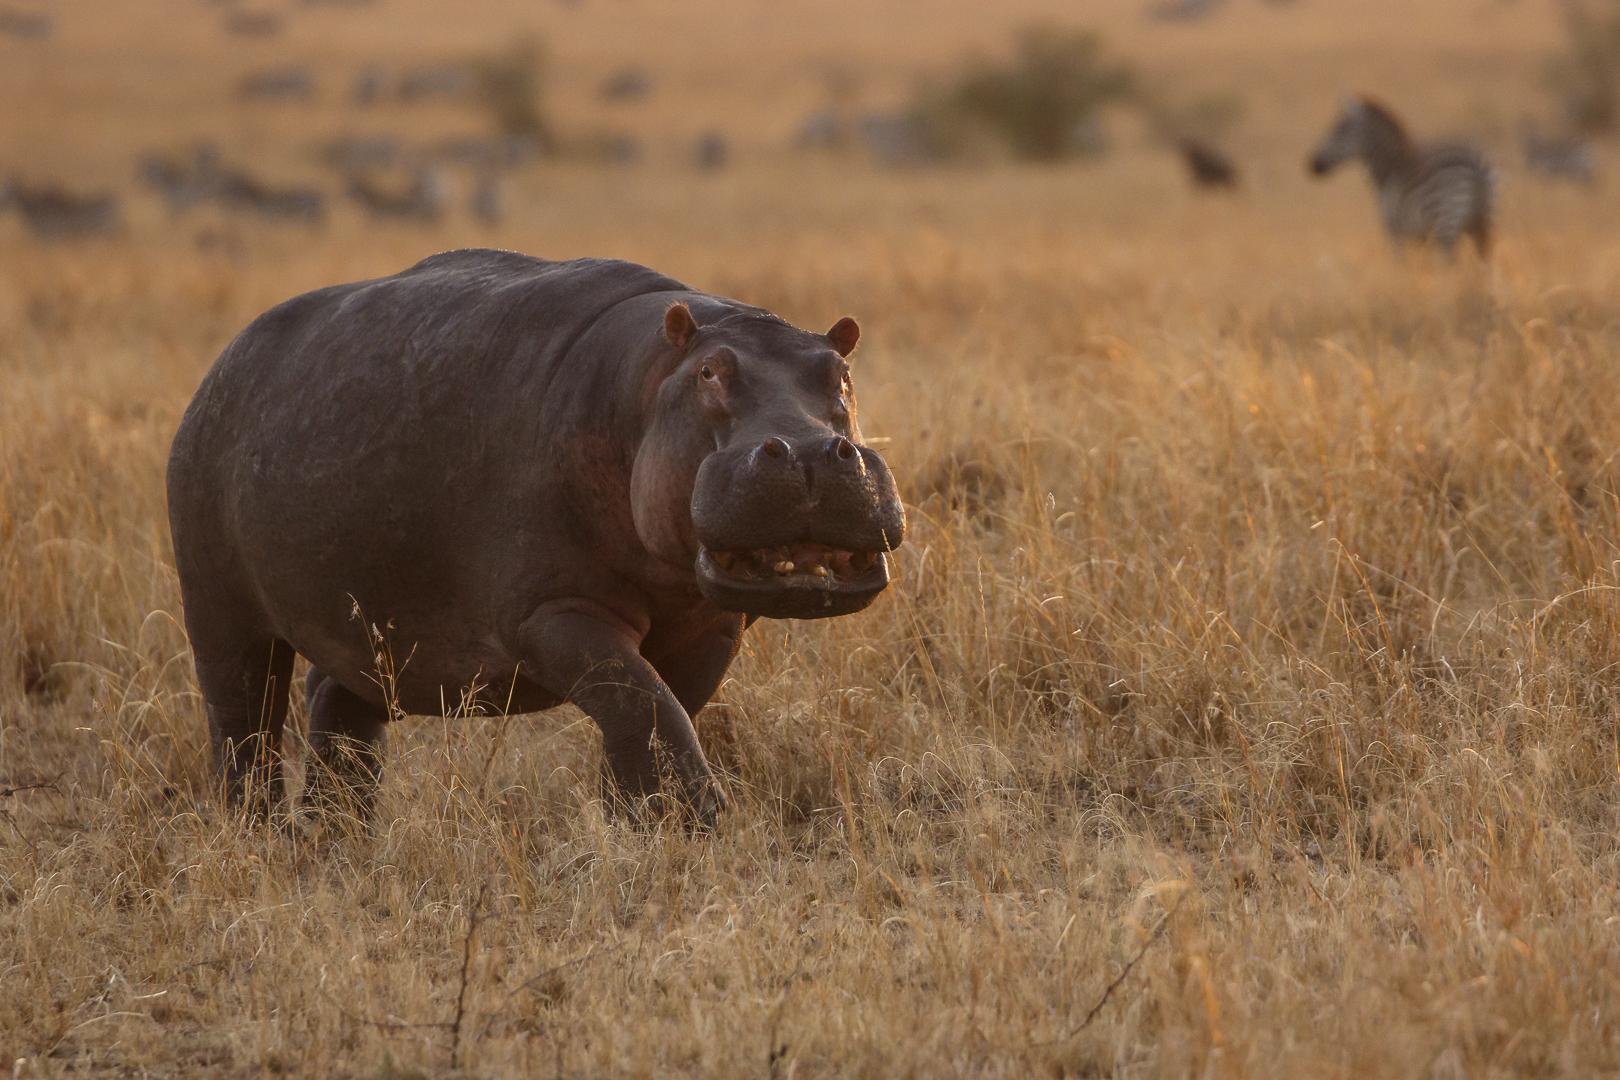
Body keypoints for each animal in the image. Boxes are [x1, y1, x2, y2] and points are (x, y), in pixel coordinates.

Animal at [1302, 95, 1490, 259]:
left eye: (1339, 130)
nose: (1312, 166)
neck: (1389, 169)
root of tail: (1475, 166)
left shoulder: (1395, 232)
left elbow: (1402, 264)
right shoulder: (1422, 238)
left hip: (1446, 223)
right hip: (1483, 223)